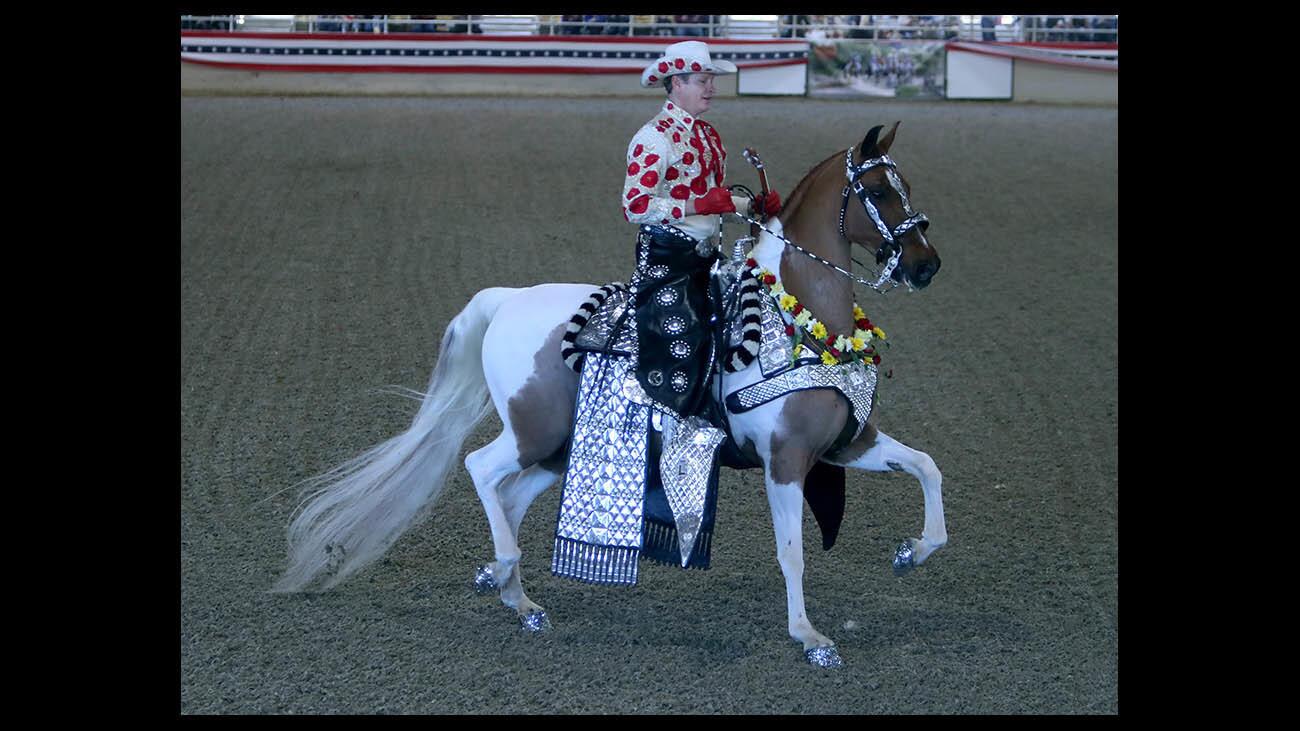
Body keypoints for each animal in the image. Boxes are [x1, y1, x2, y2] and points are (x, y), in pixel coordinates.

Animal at [274, 120, 946, 665]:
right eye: (878, 191)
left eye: (908, 184)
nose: (926, 265)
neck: (799, 318)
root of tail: (507, 300)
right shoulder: (785, 460)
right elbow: (792, 551)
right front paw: (809, 638)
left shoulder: (848, 444)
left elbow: (927, 467)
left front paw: (911, 553)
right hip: (533, 432)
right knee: (481, 468)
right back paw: (504, 572)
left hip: (559, 450)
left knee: (510, 497)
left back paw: (515, 595)